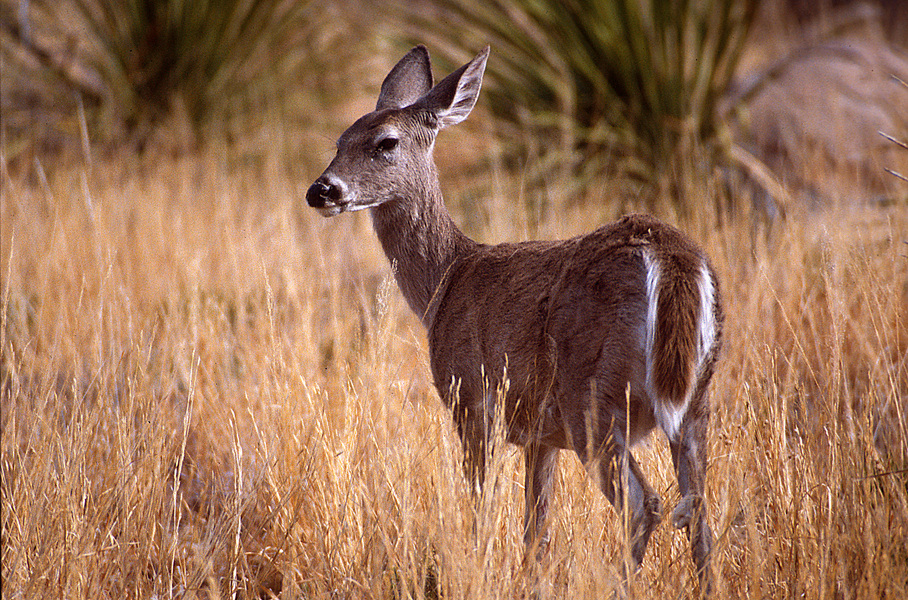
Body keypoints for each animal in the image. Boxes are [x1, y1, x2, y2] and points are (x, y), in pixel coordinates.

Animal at [306, 44, 724, 592]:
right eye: (339, 141)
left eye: (385, 142)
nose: (321, 190)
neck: (446, 280)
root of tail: (674, 258)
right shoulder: (540, 435)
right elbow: (535, 531)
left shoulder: (473, 400)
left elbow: (482, 511)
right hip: (696, 399)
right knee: (698, 511)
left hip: (593, 397)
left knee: (645, 505)